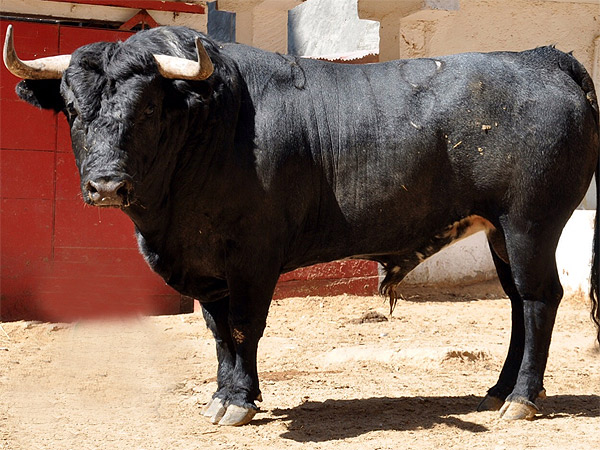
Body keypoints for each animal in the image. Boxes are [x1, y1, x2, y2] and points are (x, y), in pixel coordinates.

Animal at [4, 24, 599, 426]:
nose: (106, 187)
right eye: (72, 109)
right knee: (518, 302)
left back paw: (521, 398)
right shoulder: (205, 267)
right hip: (500, 231)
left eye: (148, 109)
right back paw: (499, 389)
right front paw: (223, 395)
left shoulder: (252, 258)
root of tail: (543, 59)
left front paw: (239, 402)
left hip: (530, 223)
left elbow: (244, 326)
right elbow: (218, 331)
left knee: (538, 298)